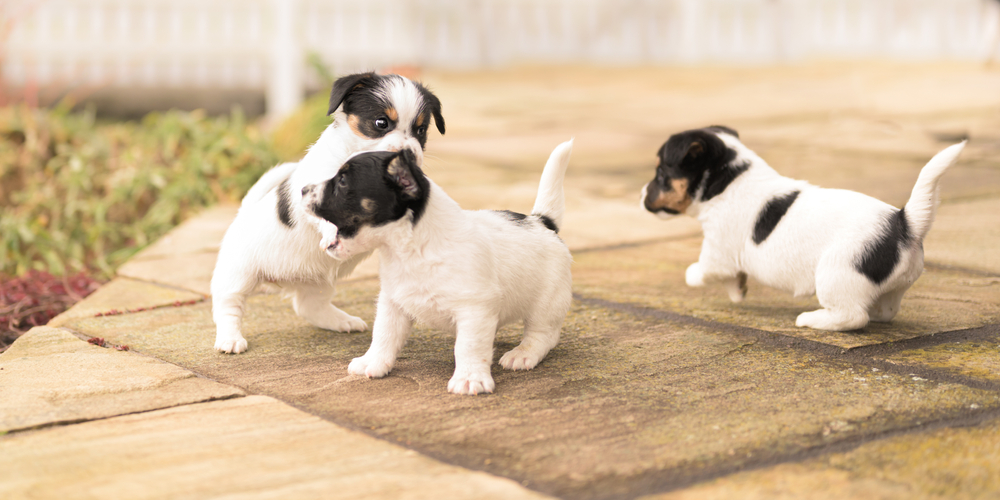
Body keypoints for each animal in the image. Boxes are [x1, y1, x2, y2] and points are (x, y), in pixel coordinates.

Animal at [211, 73, 446, 356]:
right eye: (381, 122)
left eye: (421, 130)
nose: (409, 154)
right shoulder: (317, 187)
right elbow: (325, 211)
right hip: (238, 275)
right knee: (228, 305)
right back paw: (230, 339)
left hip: (317, 283)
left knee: (308, 306)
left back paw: (341, 321)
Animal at [300, 140, 576, 394]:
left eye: (342, 181)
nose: (302, 189)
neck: (410, 249)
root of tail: (542, 221)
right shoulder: (393, 303)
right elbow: (384, 334)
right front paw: (373, 362)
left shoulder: (474, 309)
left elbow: (468, 346)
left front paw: (470, 378)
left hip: (546, 304)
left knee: (543, 334)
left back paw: (523, 353)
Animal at [644, 126, 964, 332]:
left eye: (660, 173)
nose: (641, 194)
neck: (728, 180)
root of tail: (904, 222)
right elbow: (733, 280)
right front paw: (738, 292)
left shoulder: (716, 252)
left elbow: (699, 271)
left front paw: (695, 276)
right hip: (891, 287)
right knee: (885, 310)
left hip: (835, 274)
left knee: (852, 317)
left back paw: (813, 319)